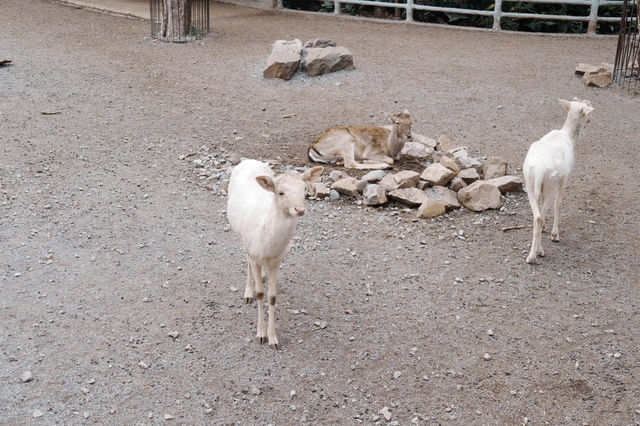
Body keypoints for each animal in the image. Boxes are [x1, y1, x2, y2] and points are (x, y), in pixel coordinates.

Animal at [226, 160, 324, 350]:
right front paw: (260, 335)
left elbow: (272, 297)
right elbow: (260, 294)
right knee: (246, 259)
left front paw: (273, 339)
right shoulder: (254, 254)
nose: (299, 209)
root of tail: (248, 160)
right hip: (242, 237)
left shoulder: (277, 260)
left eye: (304, 189)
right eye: (281, 192)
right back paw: (247, 292)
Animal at [524, 97, 592, 262]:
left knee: (536, 216)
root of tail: (539, 169)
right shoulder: (565, 178)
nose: (590, 119)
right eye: (587, 106)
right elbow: (558, 203)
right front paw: (555, 235)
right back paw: (537, 254)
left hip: (530, 184)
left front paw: (545, 228)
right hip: (551, 185)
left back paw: (531, 254)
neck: (568, 136)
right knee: (541, 214)